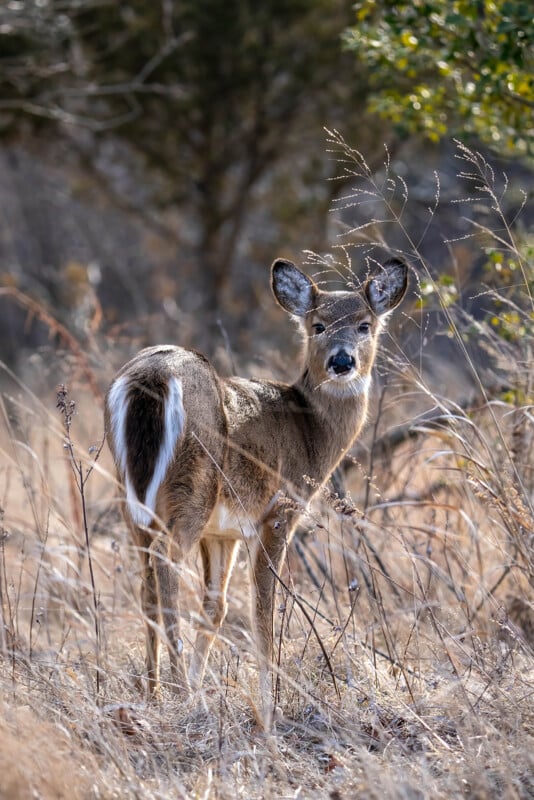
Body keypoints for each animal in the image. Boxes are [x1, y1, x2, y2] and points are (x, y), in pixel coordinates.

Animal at [104, 260, 408, 716]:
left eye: (364, 325)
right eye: (318, 325)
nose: (342, 361)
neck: (309, 433)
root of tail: (152, 377)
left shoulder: (223, 533)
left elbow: (216, 607)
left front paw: (202, 686)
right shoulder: (276, 513)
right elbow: (263, 607)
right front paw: (270, 700)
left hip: (131, 494)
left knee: (147, 585)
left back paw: (154, 691)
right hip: (191, 487)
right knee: (166, 566)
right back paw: (177, 693)